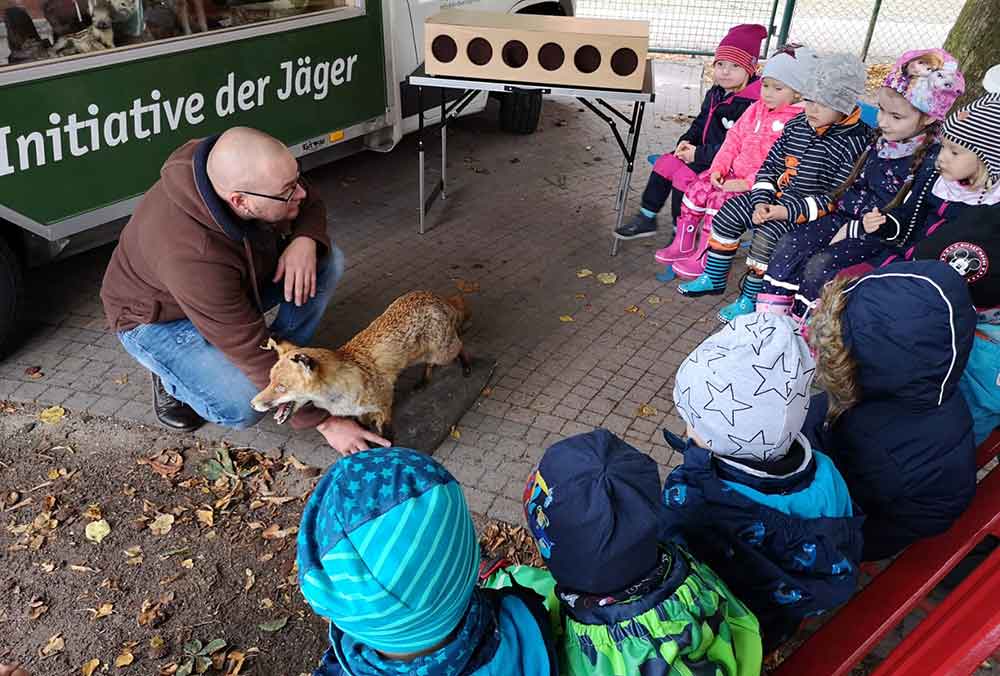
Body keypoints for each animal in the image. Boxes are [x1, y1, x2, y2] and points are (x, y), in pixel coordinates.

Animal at [248, 290, 470, 434]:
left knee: (460, 344)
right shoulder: (359, 413)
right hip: (425, 354)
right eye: (269, 381)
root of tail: (434, 296)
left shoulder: (384, 406)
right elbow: (365, 429)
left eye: (281, 387)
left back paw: (466, 365)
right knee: (431, 362)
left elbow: (386, 434)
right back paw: (424, 381)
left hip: (442, 352)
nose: (252, 404)